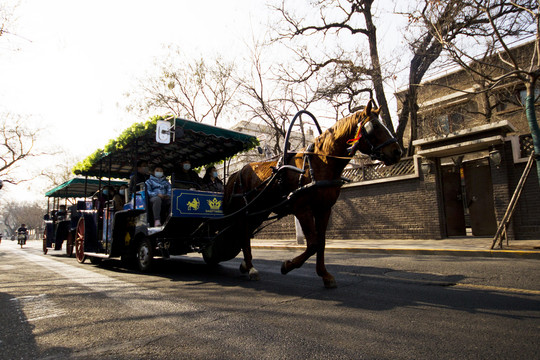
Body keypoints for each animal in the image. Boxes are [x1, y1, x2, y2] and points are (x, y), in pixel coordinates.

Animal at [219, 100, 400, 288]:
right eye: (375, 126)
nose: (397, 151)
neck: (319, 163)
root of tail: (235, 175)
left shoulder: (324, 209)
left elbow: (321, 242)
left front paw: (325, 274)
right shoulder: (302, 208)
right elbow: (312, 244)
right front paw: (288, 265)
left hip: (258, 213)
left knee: (244, 235)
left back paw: (246, 265)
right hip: (243, 213)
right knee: (244, 236)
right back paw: (251, 268)